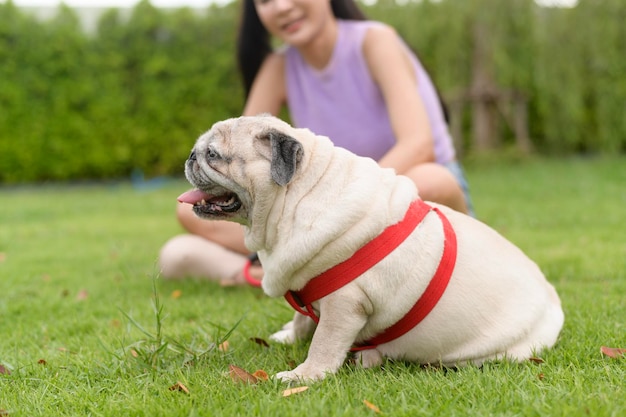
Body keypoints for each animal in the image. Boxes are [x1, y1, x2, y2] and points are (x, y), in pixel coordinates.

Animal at [178, 114, 564, 380]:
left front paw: (304, 376)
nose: (190, 155)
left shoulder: (345, 303)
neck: (297, 196)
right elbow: (303, 321)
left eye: (213, 154)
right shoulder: (306, 282)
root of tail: (552, 301)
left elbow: (323, 342)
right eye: (200, 150)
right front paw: (290, 335)